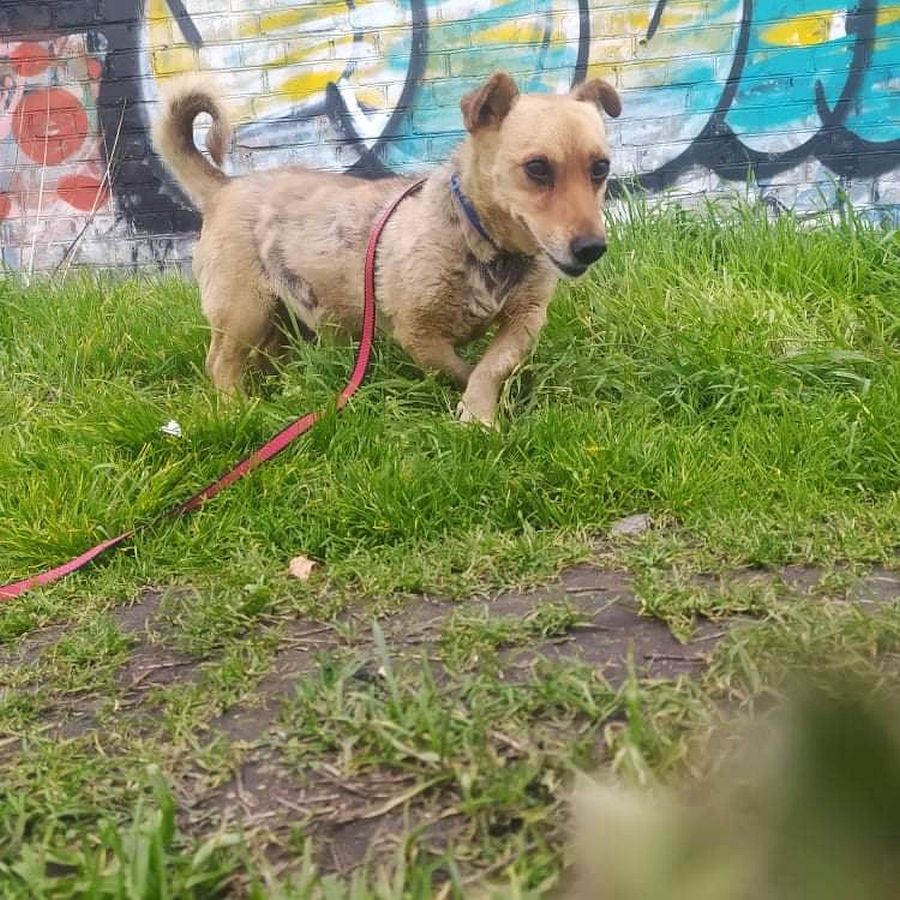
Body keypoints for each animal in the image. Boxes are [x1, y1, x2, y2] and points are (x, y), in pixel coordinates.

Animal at [152, 71, 621, 425]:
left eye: (601, 168)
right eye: (537, 168)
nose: (592, 248)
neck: (483, 242)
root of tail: (223, 189)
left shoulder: (525, 320)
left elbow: (490, 366)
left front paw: (481, 406)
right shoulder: (417, 333)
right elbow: (459, 368)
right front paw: (473, 408)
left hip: (280, 321)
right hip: (244, 311)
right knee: (220, 365)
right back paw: (238, 409)